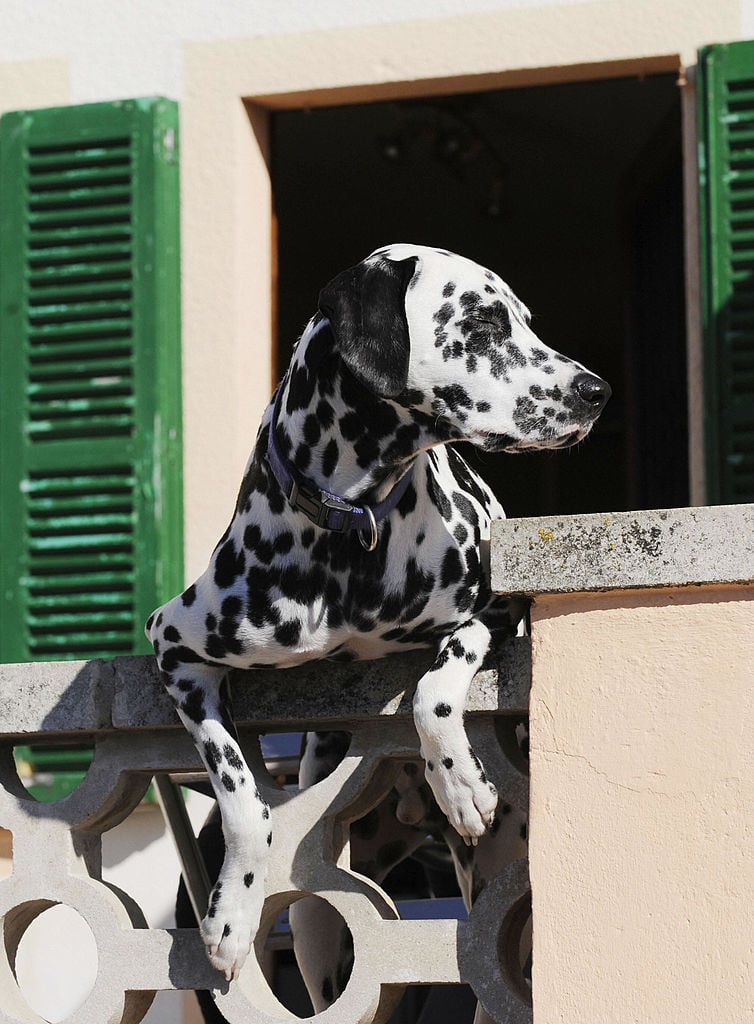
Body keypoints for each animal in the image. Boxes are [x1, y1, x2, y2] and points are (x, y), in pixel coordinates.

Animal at [147, 243, 610, 983]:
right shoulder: (176, 647)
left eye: (526, 321)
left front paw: (459, 781)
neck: (348, 535)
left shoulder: (488, 619)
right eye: (482, 325)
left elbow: (433, 690)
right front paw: (230, 910)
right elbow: (240, 794)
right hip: (318, 927)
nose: (597, 392)